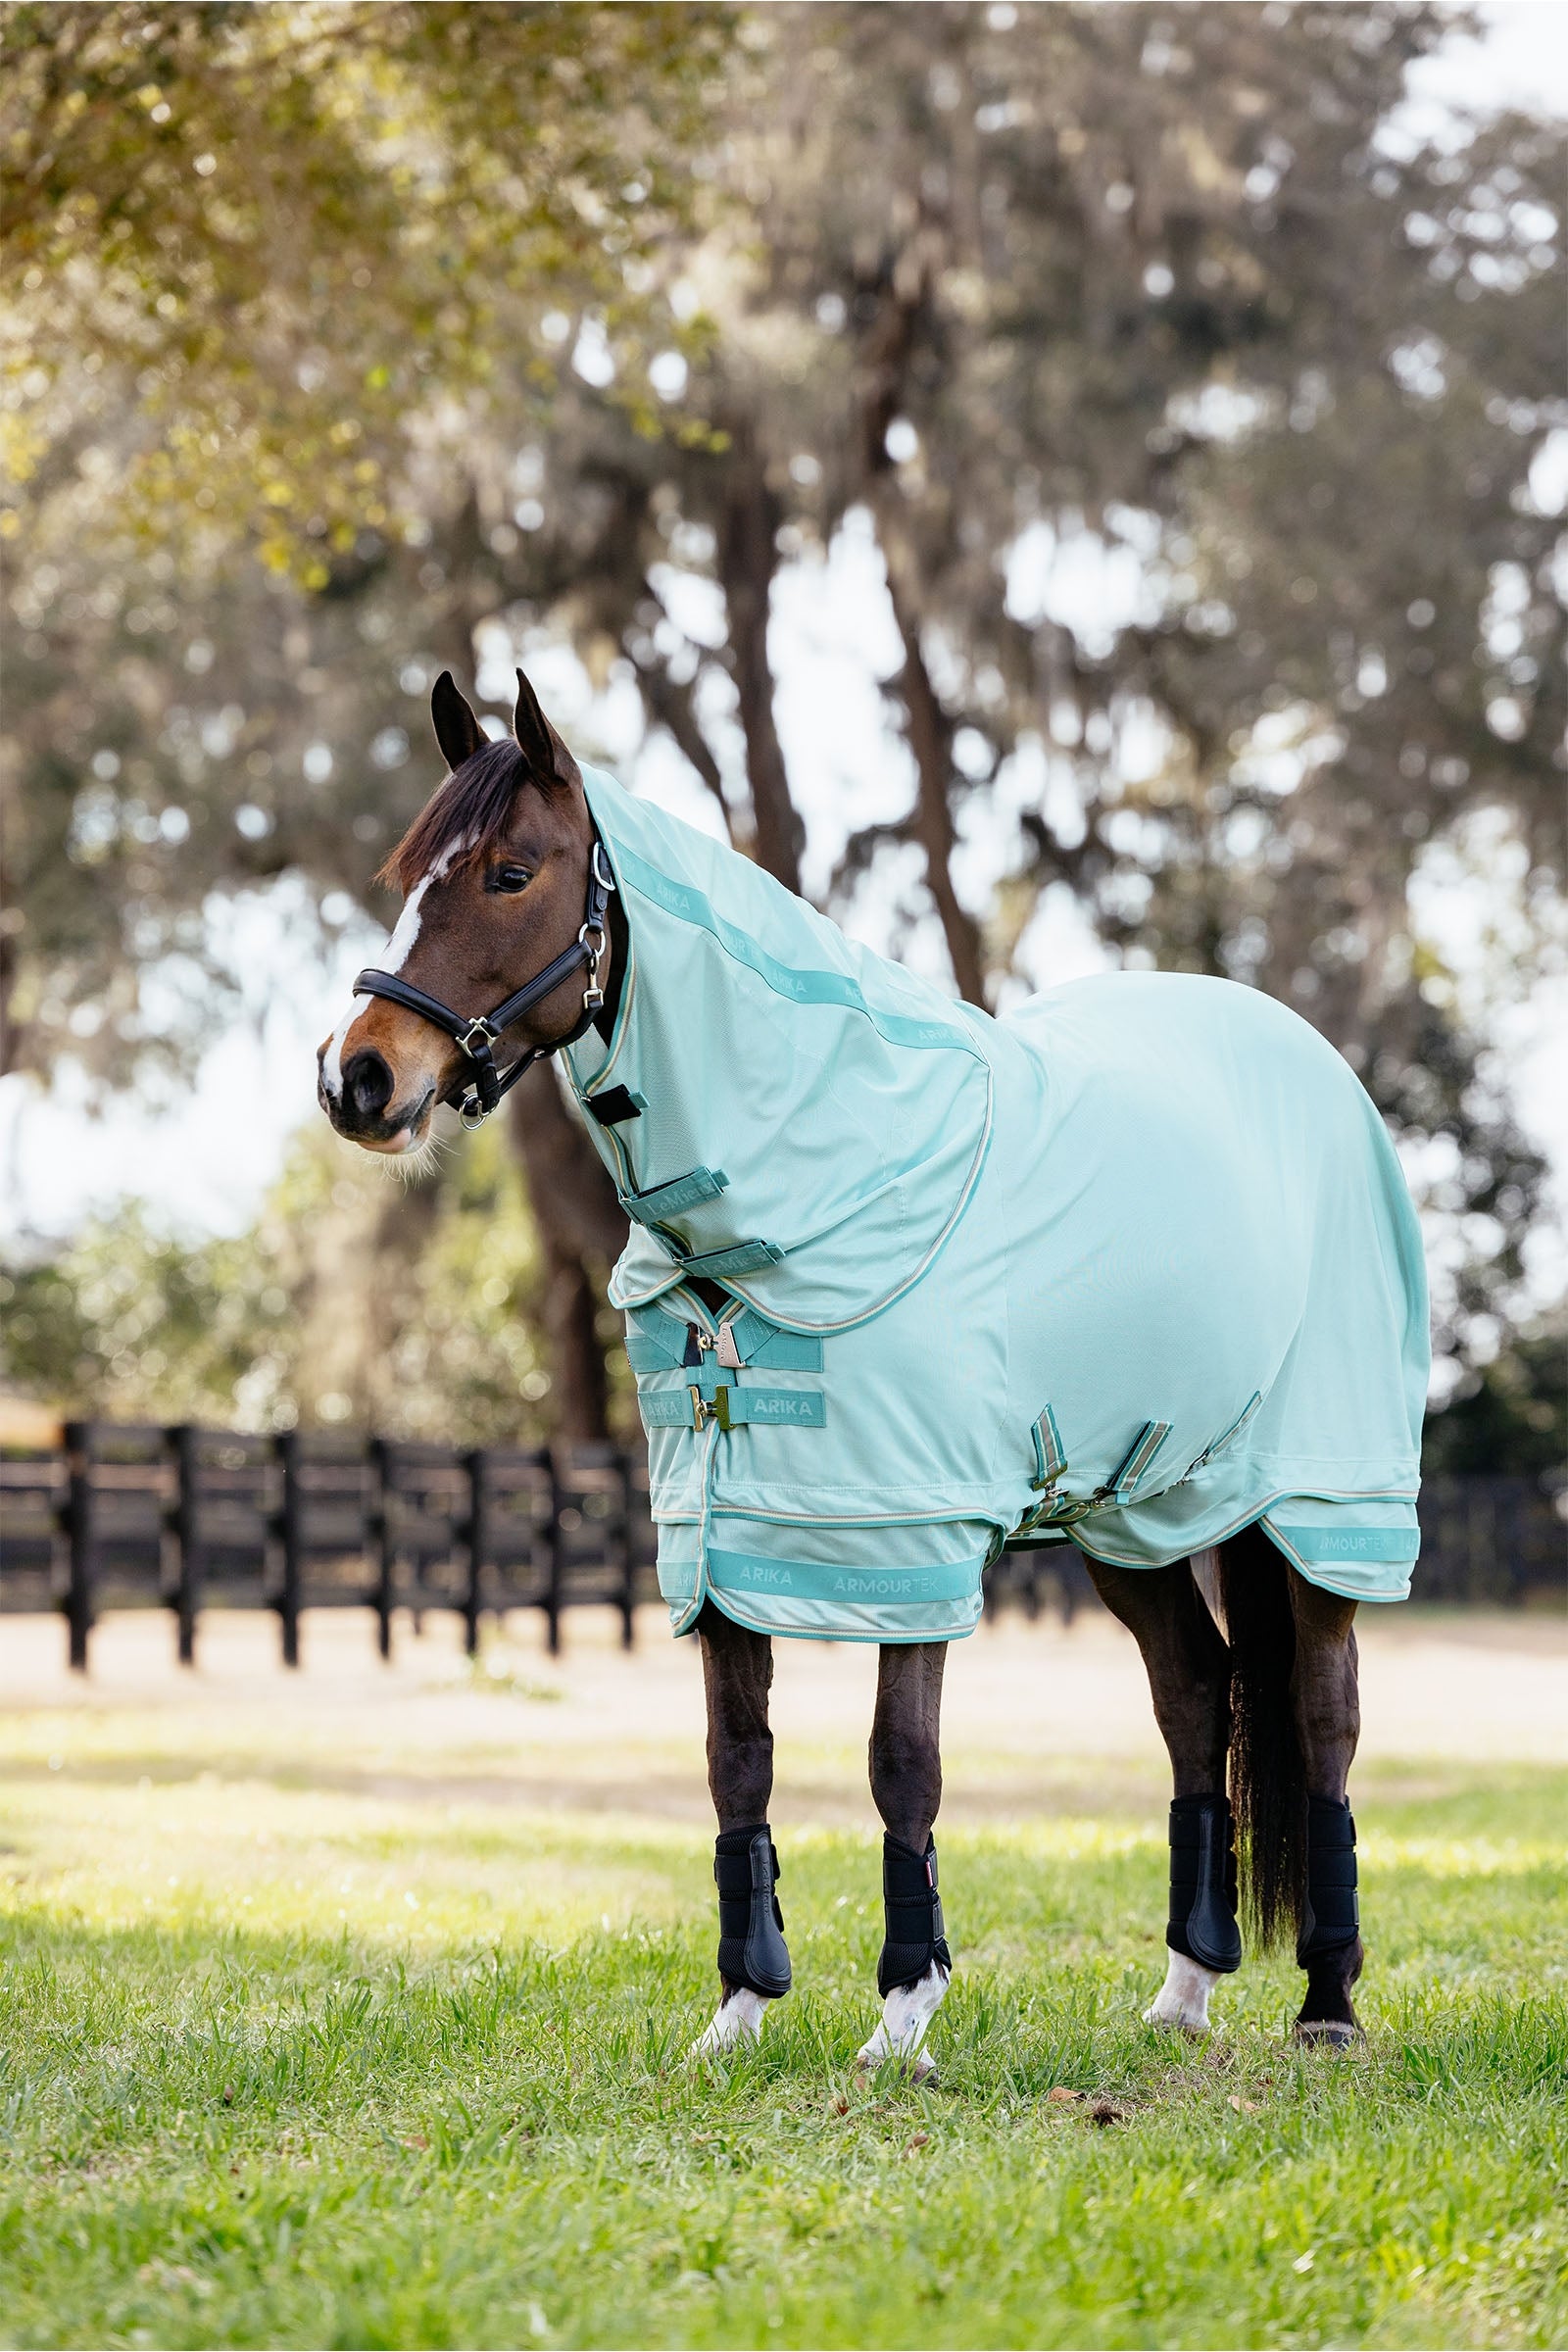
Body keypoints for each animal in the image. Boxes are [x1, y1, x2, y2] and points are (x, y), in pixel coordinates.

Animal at [318, 667, 1428, 2074]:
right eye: (408, 872)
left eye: (511, 873)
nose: (356, 1077)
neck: (824, 1178)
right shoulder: (712, 1542)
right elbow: (736, 1758)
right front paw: (737, 2012)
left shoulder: (915, 1533)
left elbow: (902, 1761)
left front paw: (903, 2013)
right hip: (1136, 1516)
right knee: (1195, 1694)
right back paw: (1182, 1990)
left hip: (1322, 1505)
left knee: (1324, 1717)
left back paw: (1327, 2002)